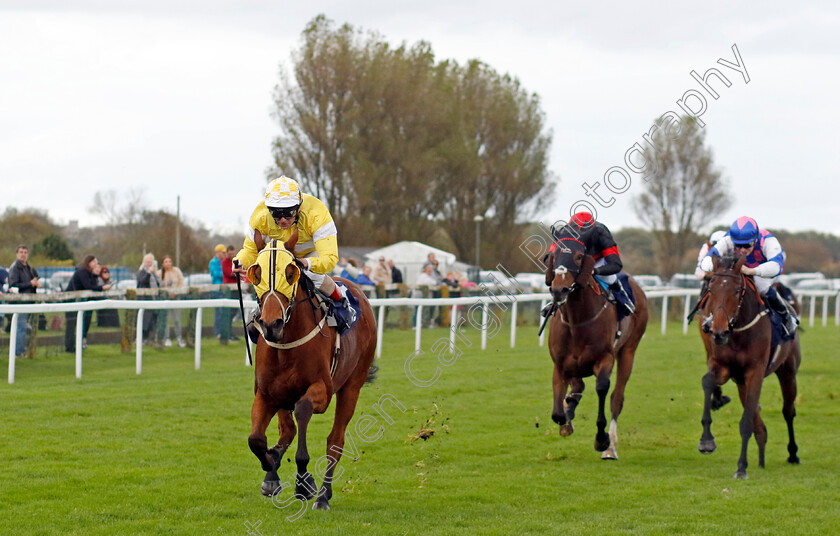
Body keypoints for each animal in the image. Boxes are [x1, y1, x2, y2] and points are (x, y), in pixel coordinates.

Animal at [243, 237, 374, 508]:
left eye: (290, 273)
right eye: (256, 274)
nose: (271, 324)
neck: (286, 343)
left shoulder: (321, 391)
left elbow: (303, 410)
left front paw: (304, 483)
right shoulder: (266, 393)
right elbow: (256, 439)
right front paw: (271, 468)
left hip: (352, 386)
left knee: (335, 441)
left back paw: (323, 495)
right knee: (288, 430)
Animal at [544, 237, 648, 458]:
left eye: (579, 256)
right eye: (553, 255)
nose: (559, 290)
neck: (577, 321)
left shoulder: (605, 358)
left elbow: (602, 388)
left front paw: (601, 439)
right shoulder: (561, 365)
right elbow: (557, 413)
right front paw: (566, 418)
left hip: (628, 351)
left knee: (617, 398)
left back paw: (610, 448)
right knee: (578, 387)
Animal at [696, 253, 800, 480]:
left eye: (737, 290)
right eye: (711, 289)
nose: (718, 331)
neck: (737, 332)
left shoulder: (755, 372)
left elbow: (745, 423)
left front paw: (741, 468)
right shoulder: (723, 367)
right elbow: (707, 382)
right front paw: (707, 440)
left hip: (788, 372)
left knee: (788, 411)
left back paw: (793, 454)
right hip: (741, 382)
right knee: (755, 415)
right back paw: (761, 458)